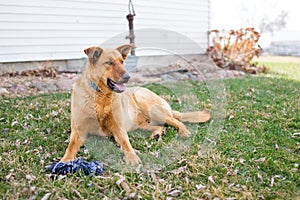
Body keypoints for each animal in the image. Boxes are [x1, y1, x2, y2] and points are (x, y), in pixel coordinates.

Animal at [61, 44, 211, 166]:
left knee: (175, 120)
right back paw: (157, 134)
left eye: (122, 62)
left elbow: (125, 143)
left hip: (149, 106)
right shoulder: (78, 131)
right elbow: (71, 146)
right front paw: (65, 160)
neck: (101, 97)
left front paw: (131, 157)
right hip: (143, 124)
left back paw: (183, 131)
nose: (127, 77)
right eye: (109, 62)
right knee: (160, 126)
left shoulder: (119, 129)